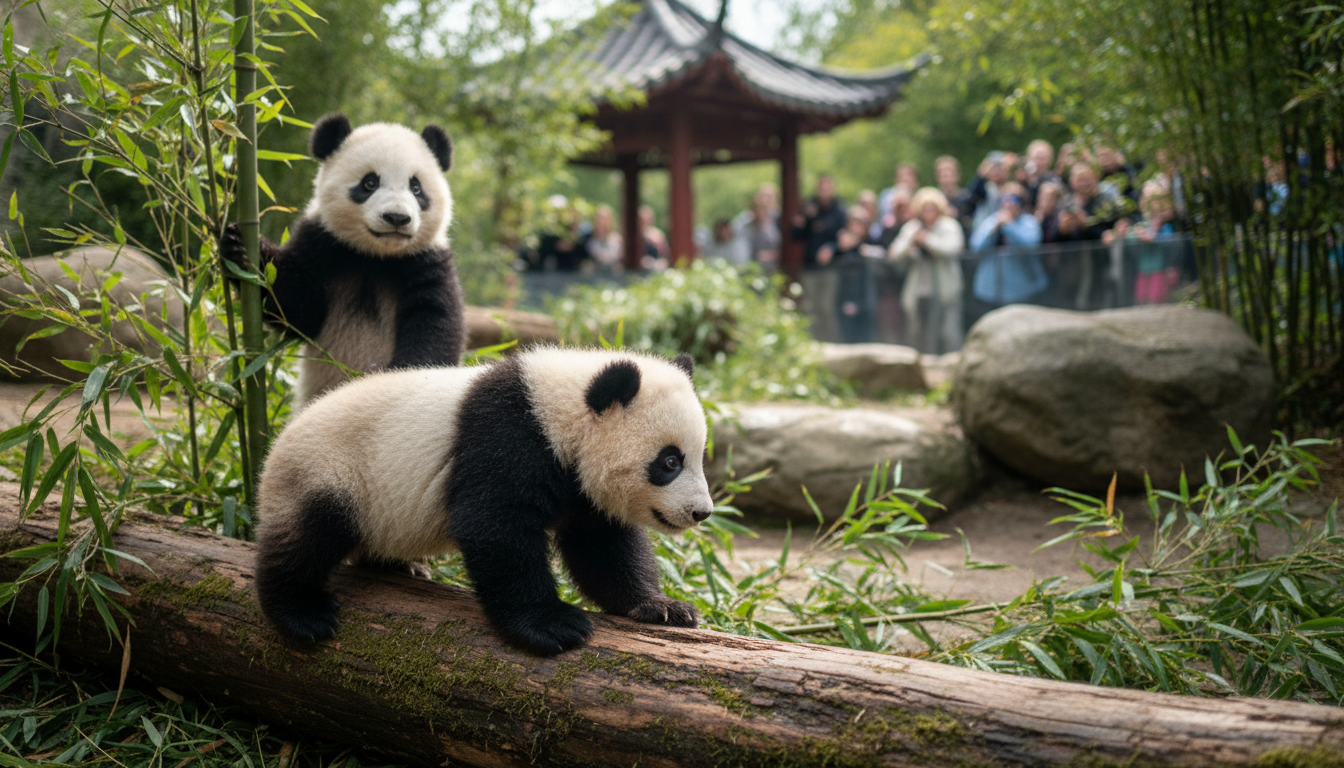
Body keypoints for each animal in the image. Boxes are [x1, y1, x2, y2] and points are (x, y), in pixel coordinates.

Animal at [223, 113, 464, 410]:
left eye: (416, 187)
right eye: (370, 183)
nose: (397, 218)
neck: (377, 256)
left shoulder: (427, 261)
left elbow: (435, 324)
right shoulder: (323, 245)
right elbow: (295, 305)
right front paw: (241, 245)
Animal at [254, 347, 714, 656]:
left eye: (700, 456)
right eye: (670, 461)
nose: (702, 512)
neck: (557, 410)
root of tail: (274, 449)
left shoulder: (581, 488)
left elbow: (601, 547)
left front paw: (662, 607)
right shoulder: (505, 436)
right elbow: (494, 526)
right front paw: (553, 625)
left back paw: (402, 567)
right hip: (331, 470)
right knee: (309, 534)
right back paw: (302, 612)